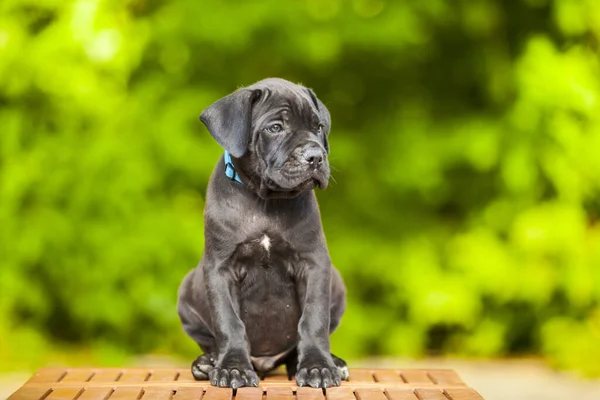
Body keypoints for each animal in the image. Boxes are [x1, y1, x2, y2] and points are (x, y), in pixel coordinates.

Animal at [177, 77, 346, 388]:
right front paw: (232, 367)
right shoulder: (220, 268)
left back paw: (330, 363)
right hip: (187, 291)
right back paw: (207, 363)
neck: (266, 200)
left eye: (318, 127)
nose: (316, 157)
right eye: (275, 128)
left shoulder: (314, 263)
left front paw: (318, 366)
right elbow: (229, 322)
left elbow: (313, 319)